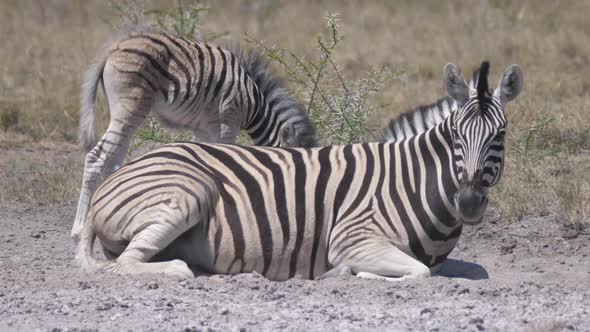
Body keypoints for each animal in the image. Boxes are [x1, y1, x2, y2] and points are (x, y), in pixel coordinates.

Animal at [74, 27, 320, 243]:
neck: (253, 103)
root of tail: (114, 47)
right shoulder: (227, 123)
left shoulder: (204, 129)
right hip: (130, 108)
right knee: (96, 157)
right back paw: (78, 228)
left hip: (128, 114)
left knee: (113, 162)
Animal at [76, 61, 524, 280]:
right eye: (456, 135)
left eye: (500, 134)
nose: (469, 202)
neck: (413, 181)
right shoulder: (352, 237)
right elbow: (418, 272)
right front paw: (349, 274)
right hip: (188, 193)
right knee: (126, 264)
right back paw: (181, 270)